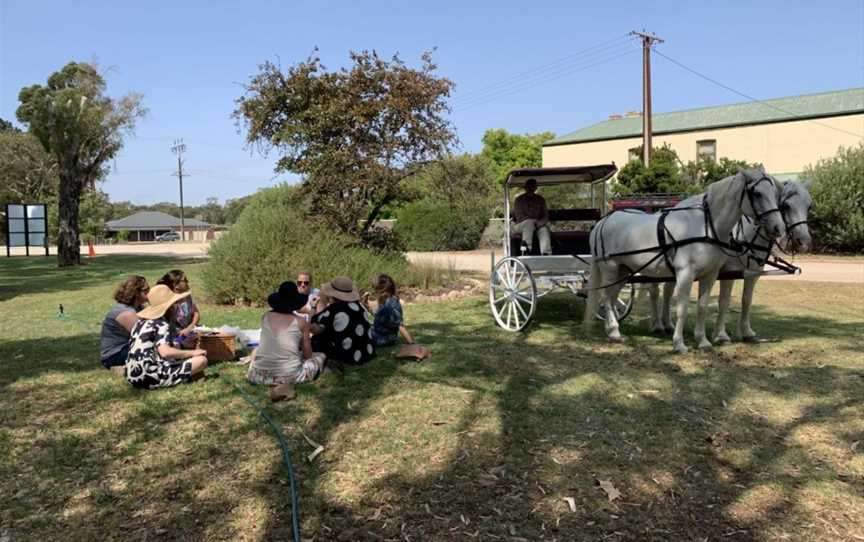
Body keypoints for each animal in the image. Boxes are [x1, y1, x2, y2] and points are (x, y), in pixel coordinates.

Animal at [584, 171, 788, 356]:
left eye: (774, 193)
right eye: (757, 193)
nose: (779, 227)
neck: (706, 226)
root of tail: (603, 221)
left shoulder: (710, 275)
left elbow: (702, 306)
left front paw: (703, 341)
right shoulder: (685, 274)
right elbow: (682, 308)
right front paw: (679, 344)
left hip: (623, 272)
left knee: (611, 298)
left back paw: (612, 329)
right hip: (610, 268)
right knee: (605, 297)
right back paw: (614, 331)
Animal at [652, 182, 812, 344]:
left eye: (809, 206)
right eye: (786, 205)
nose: (803, 241)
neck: (746, 236)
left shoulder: (753, 274)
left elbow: (747, 300)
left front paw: (746, 332)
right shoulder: (728, 273)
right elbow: (724, 301)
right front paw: (720, 334)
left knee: (667, 291)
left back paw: (667, 324)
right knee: (657, 292)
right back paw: (658, 325)